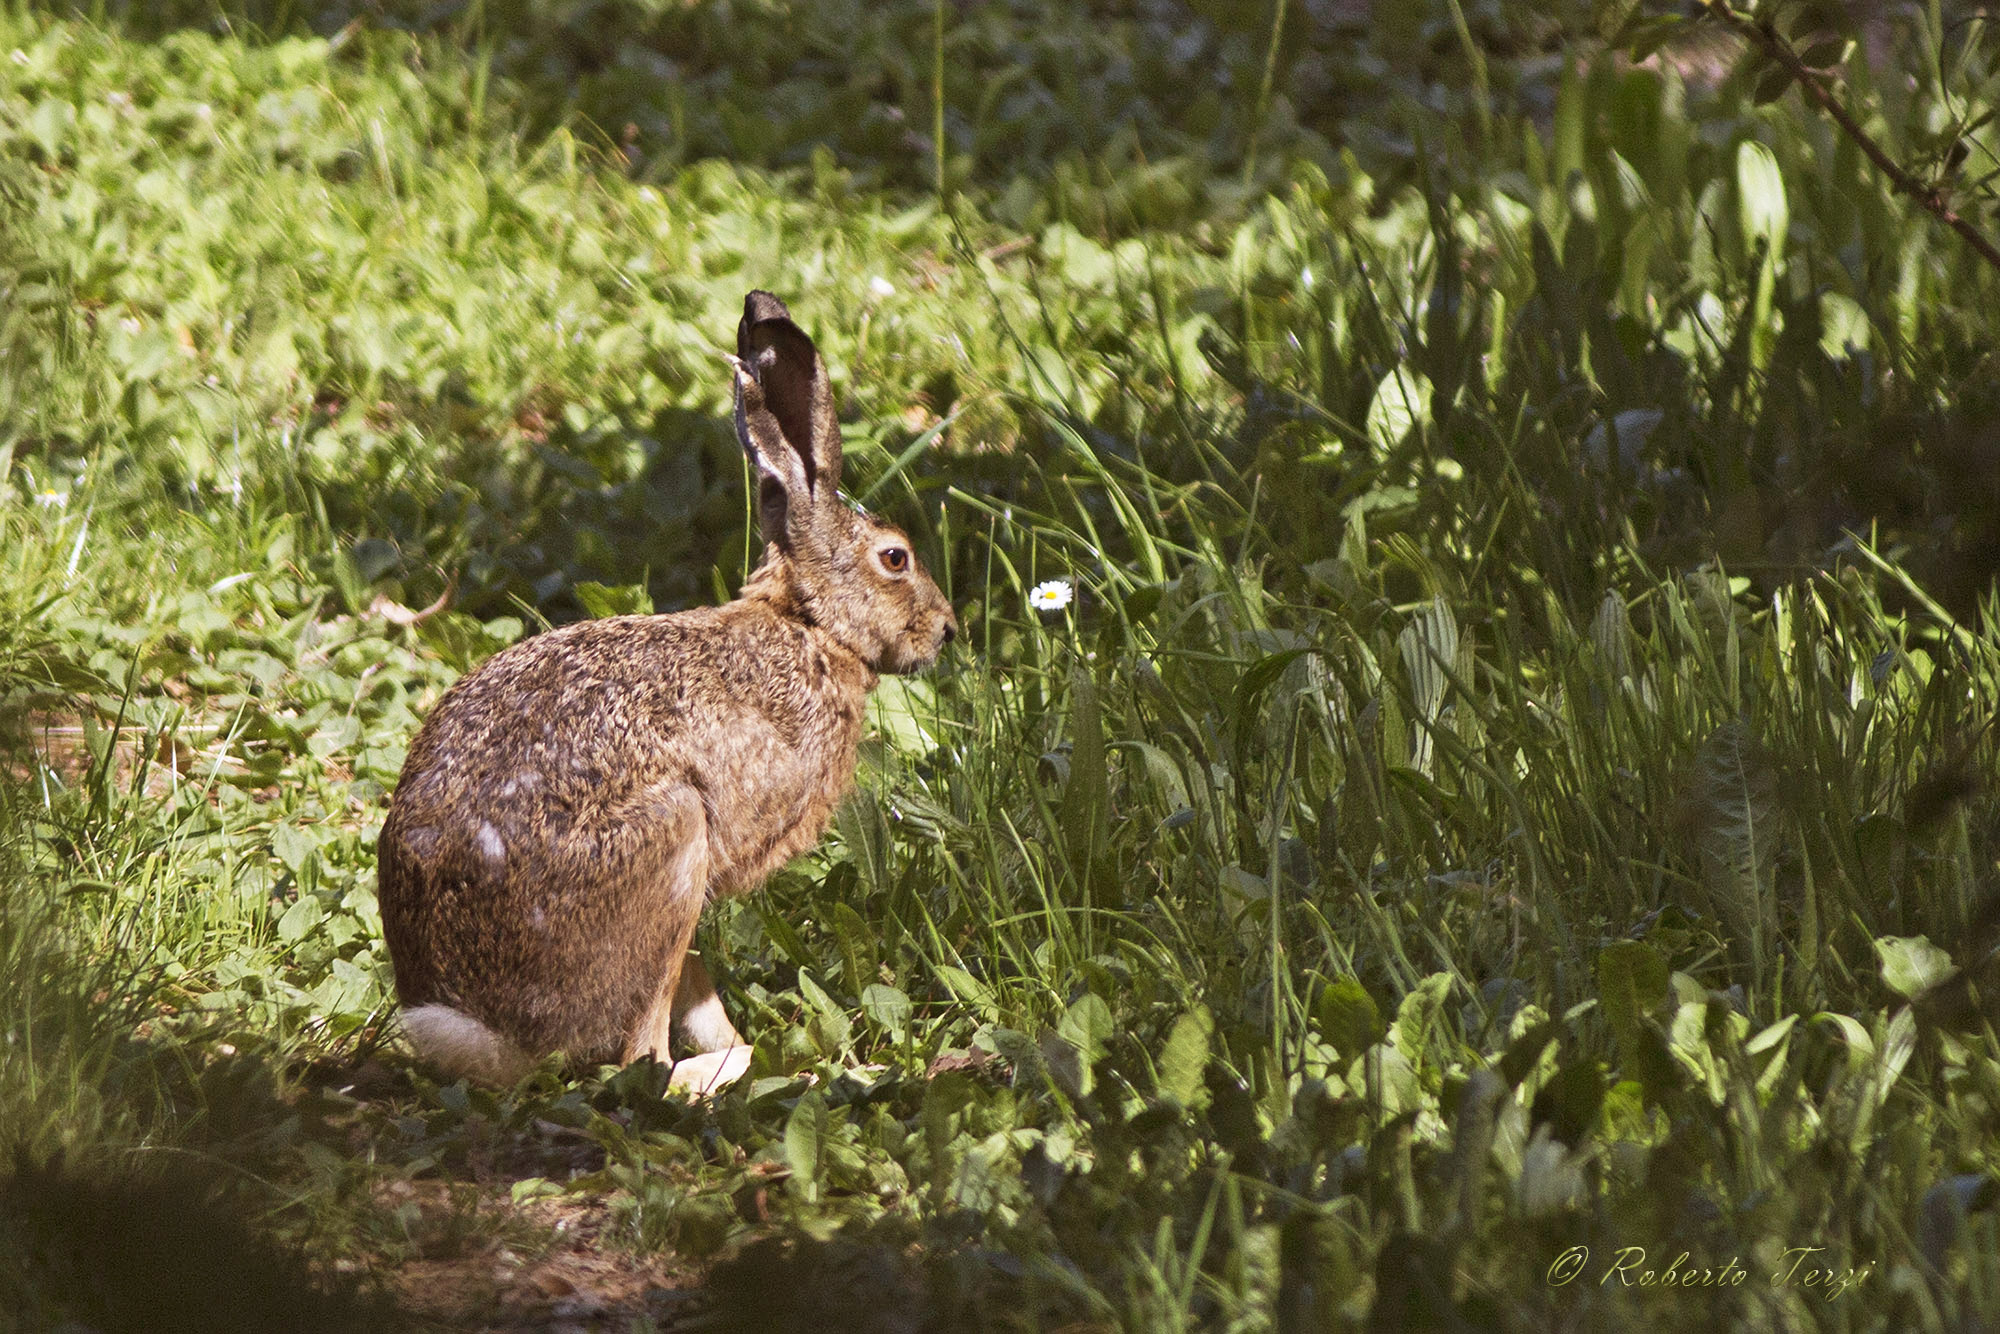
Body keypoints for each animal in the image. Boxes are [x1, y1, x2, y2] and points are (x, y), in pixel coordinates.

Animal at [376, 291, 958, 1095]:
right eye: (895, 558)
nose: (948, 630)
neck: (810, 626)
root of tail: (490, 1029)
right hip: (672, 840)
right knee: (641, 1060)